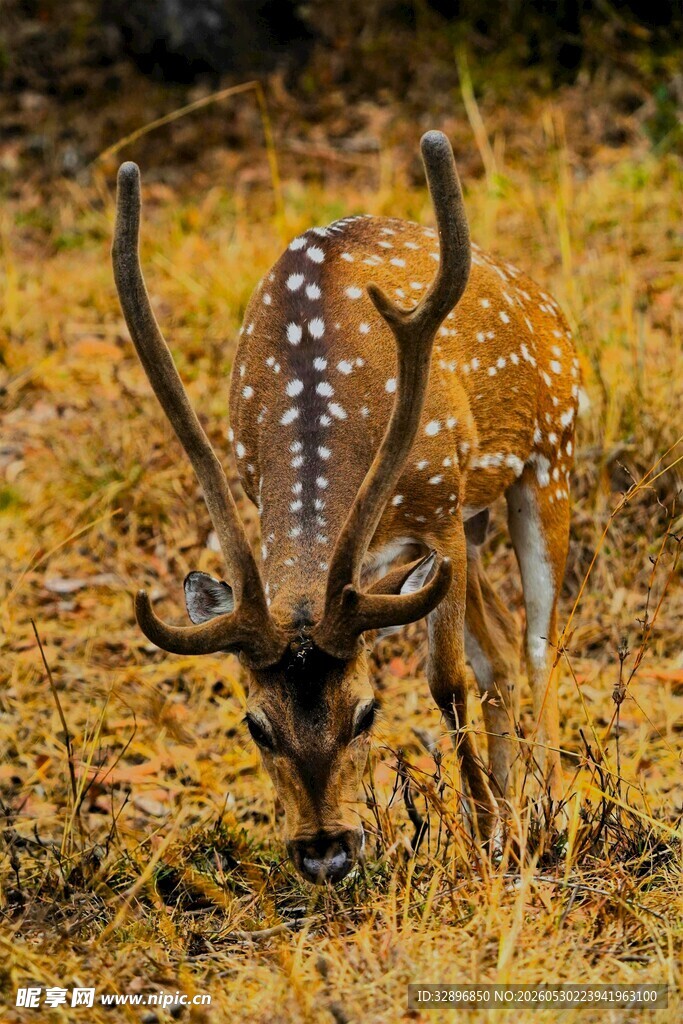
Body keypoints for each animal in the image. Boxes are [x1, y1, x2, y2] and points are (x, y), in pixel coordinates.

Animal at [112, 130, 579, 885]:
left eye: (367, 713)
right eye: (255, 725)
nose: (326, 853)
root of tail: (545, 303)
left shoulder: (439, 508)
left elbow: (446, 680)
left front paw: (484, 841)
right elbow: (473, 668)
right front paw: (490, 832)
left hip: (549, 456)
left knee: (541, 640)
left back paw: (547, 815)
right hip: (474, 523)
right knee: (505, 646)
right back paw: (517, 811)